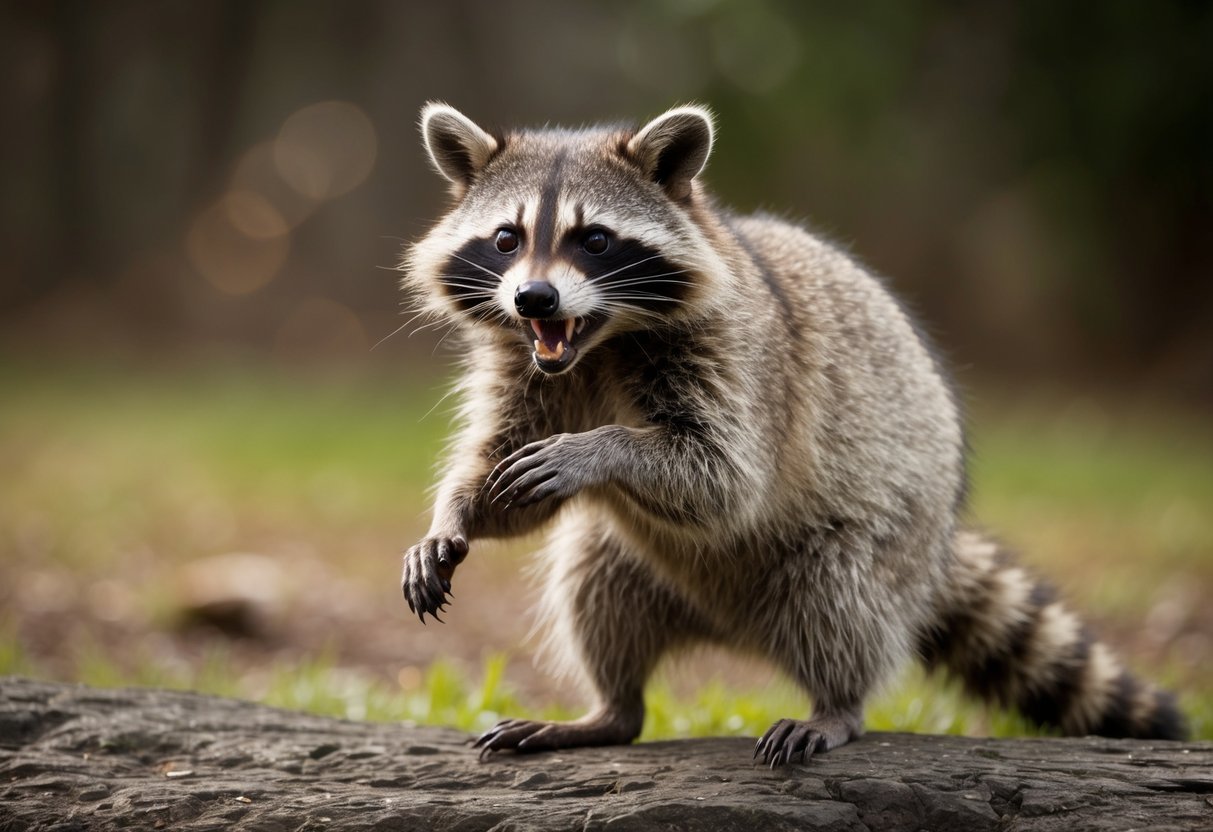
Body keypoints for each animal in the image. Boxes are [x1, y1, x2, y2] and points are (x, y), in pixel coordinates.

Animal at [399, 103, 1187, 766]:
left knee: (836, 597)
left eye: (594, 240)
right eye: (507, 239)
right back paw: (610, 710)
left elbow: (722, 478)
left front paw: (593, 450)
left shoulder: (739, 359)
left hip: (880, 540)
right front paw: (452, 514)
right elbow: (502, 464)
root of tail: (729, 629)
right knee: (595, 586)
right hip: (635, 565)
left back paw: (836, 703)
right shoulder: (526, 367)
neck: (599, 341)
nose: (535, 298)